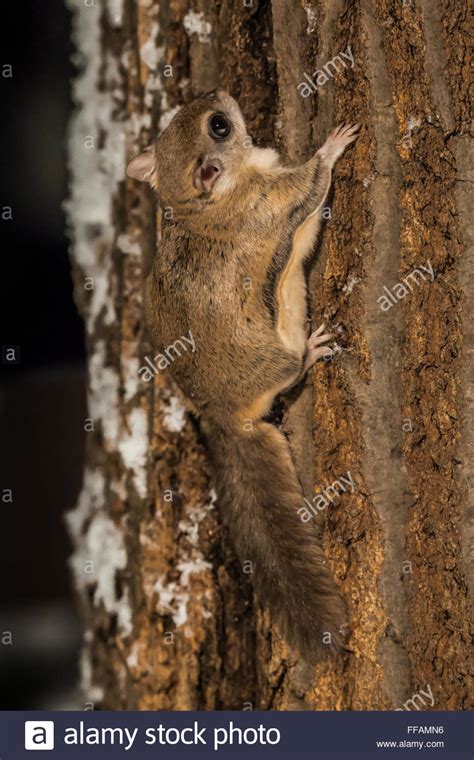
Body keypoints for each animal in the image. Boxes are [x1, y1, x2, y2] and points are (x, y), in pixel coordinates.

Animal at [127, 87, 360, 660]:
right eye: (220, 126)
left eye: (204, 116)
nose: (218, 92)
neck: (201, 206)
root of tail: (225, 417)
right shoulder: (271, 202)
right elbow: (313, 182)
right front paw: (332, 144)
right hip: (275, 361)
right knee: (290, 374)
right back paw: (311, 351)